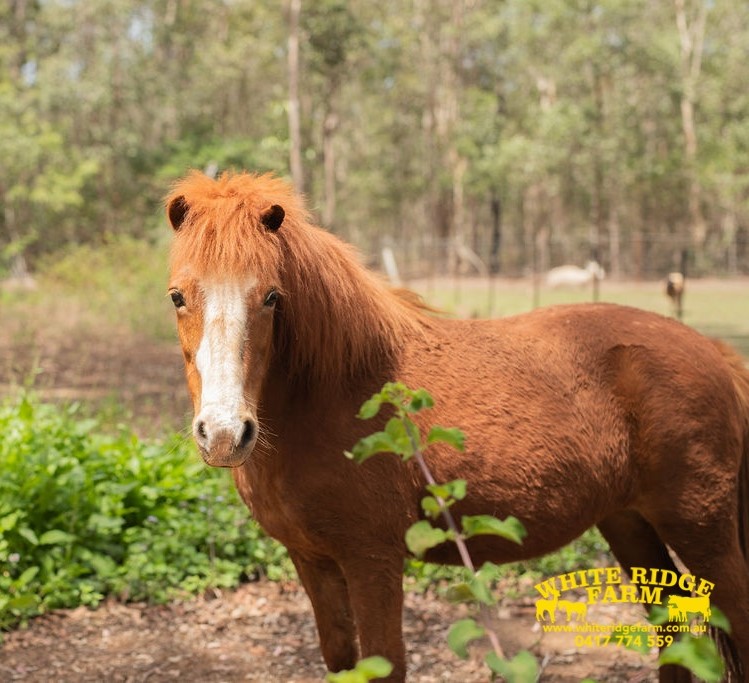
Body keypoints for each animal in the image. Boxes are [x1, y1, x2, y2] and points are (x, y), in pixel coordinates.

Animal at [165, 171, 749, 682]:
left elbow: (384, 666)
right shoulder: (312, 561)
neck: (336, 390)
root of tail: (714, 352)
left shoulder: (372, 561)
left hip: (702, 529)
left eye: (271, 296)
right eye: (177, 296)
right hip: (629, 522)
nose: (224, 433)